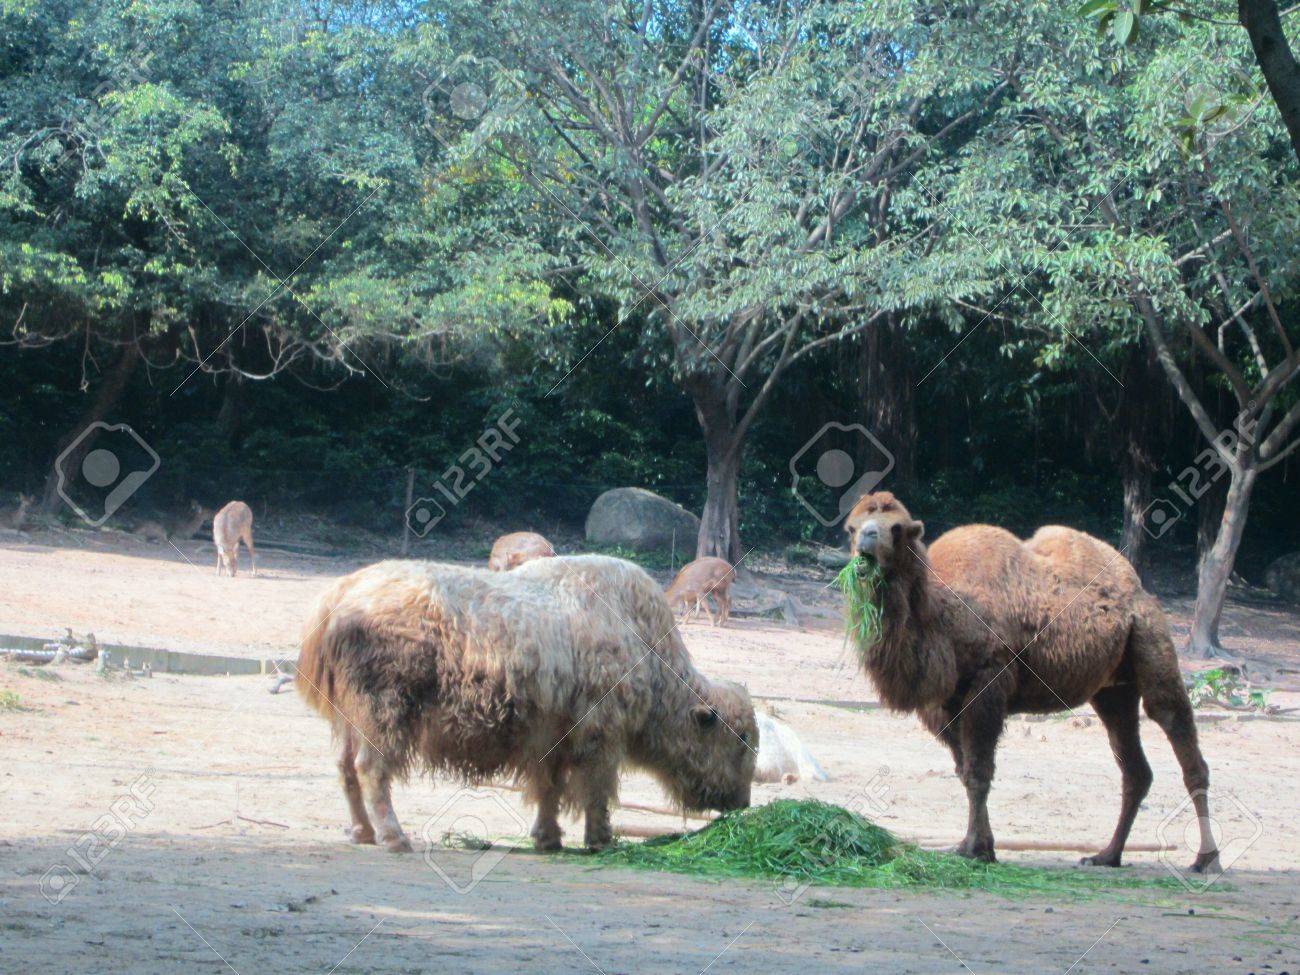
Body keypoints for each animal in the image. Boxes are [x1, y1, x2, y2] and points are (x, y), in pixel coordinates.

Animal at [841, 491, 1218, 872]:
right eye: (852, 527)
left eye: (896, 528)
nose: (866, 544)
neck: (942, 617)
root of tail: (1137, 589)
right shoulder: (943, 705)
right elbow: (963, 771)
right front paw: (978, 845)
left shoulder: (988, 685)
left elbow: (979, 772)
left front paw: (975, 849)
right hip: (1113, 690)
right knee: (1134, 766)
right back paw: (1106, 856)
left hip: (1150, 637)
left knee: (1175, 728)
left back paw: (1206, 859)